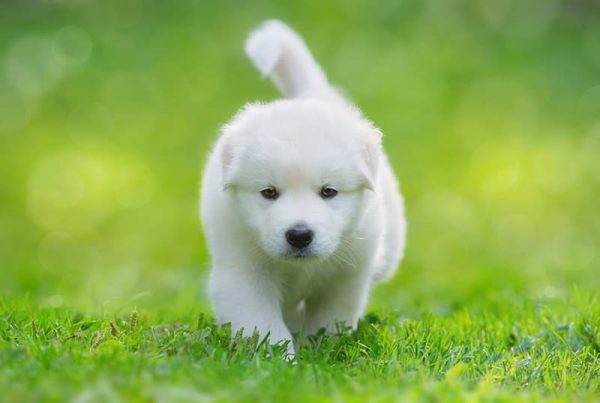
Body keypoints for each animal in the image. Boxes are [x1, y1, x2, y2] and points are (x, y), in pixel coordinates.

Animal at [202, 19, 408, 354]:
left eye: (328, 192)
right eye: (268, 192)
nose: (299, 236)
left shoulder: (346, 278)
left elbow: (328, 321)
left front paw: (320, 353)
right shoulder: (242, 273)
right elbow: (263, 325)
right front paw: (280, 359)